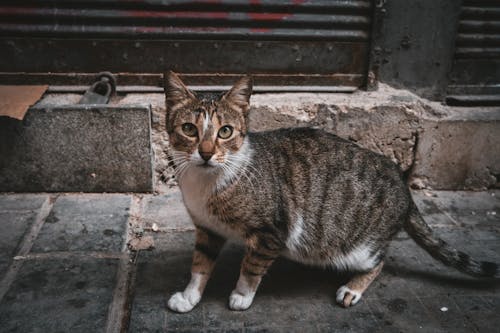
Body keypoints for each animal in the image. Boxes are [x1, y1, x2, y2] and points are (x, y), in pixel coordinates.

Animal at [162, 71, 498, 312]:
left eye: (225, 131)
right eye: (189, 129)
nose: (206, 153)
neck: (206, 182)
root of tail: (402, 183)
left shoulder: (272, 232)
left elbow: (252, 266)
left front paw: (241, 296)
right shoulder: (207, 229)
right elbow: (200, 265)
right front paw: (189, 297)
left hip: (360, 248)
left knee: (379, 260)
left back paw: (353, 288)